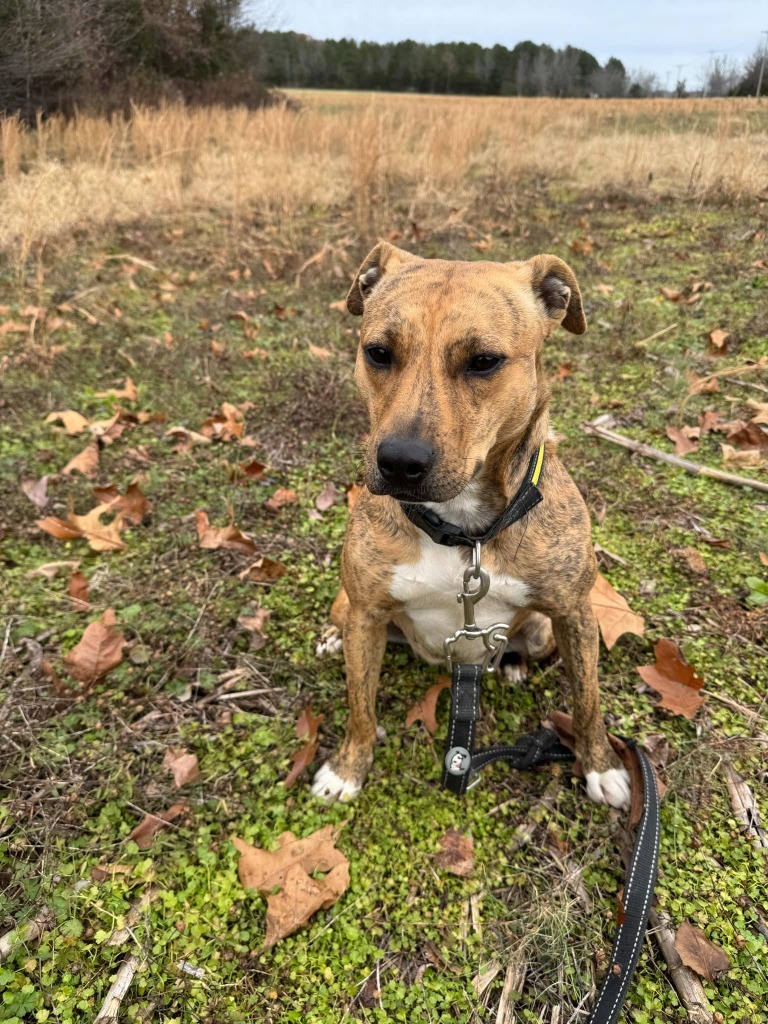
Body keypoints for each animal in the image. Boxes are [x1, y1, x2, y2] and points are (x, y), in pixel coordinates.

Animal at [311, 243, 630, 811]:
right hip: (351, 607)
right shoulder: (367, 616)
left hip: (545, 629)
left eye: (483, 361)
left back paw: (512, 663)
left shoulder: (574, 613)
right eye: (378, 353)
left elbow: (588, 700)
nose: (400, 461)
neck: (463, 531)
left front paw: (601, 765)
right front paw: (348, 768)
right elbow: (360, 705)